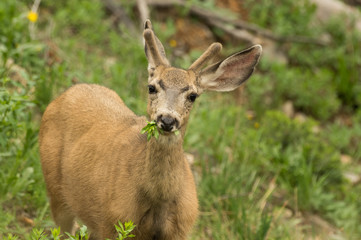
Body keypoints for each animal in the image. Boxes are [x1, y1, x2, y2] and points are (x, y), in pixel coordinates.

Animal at [37, 19, 262, 239]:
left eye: (192, 96)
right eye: (151, 87)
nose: (167, 119)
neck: (158, 202)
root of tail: (68, 92)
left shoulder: (180, 230)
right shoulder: (113, 221)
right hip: (55, 188)